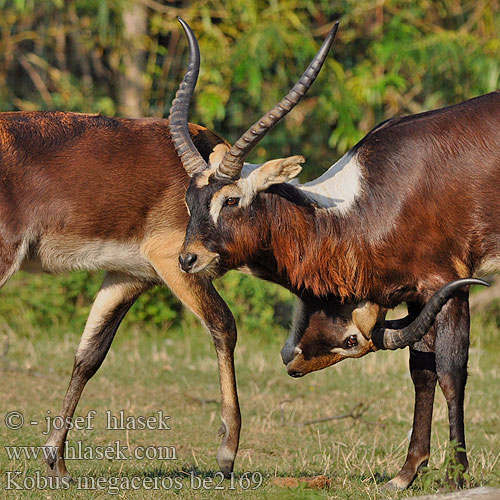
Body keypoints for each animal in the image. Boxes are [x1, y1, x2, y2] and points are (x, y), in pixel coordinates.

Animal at [172, 18, 500, 488]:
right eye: (190, 199)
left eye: (230, 199)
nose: (189, 259)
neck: (357, 206)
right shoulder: (418, 295)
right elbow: (421, 371)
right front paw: (406, 473)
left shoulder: (450, 286)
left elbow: (452, 373)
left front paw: (455, 478)